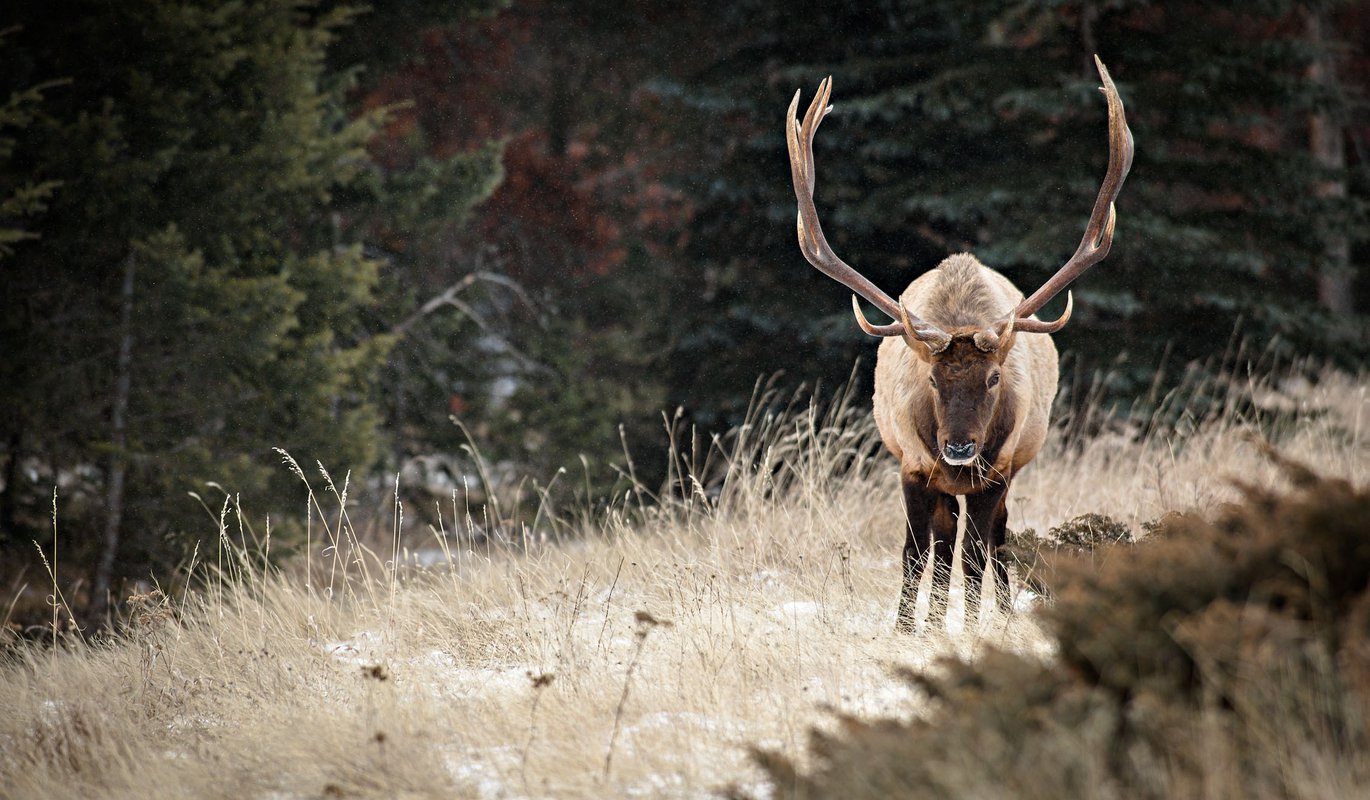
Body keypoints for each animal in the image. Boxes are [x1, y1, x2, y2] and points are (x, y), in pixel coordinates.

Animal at [785, 56, 1134, 631]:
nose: (960, 447)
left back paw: (1003, 612)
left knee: (992, 541)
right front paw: (907, 629)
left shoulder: (998, 470)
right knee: (944, 543)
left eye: (993, 378)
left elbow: (976, 553)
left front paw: (970, 628)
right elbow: (915, 552)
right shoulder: (910, 464)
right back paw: (932, 620)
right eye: (930, 378)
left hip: (1008, 468)